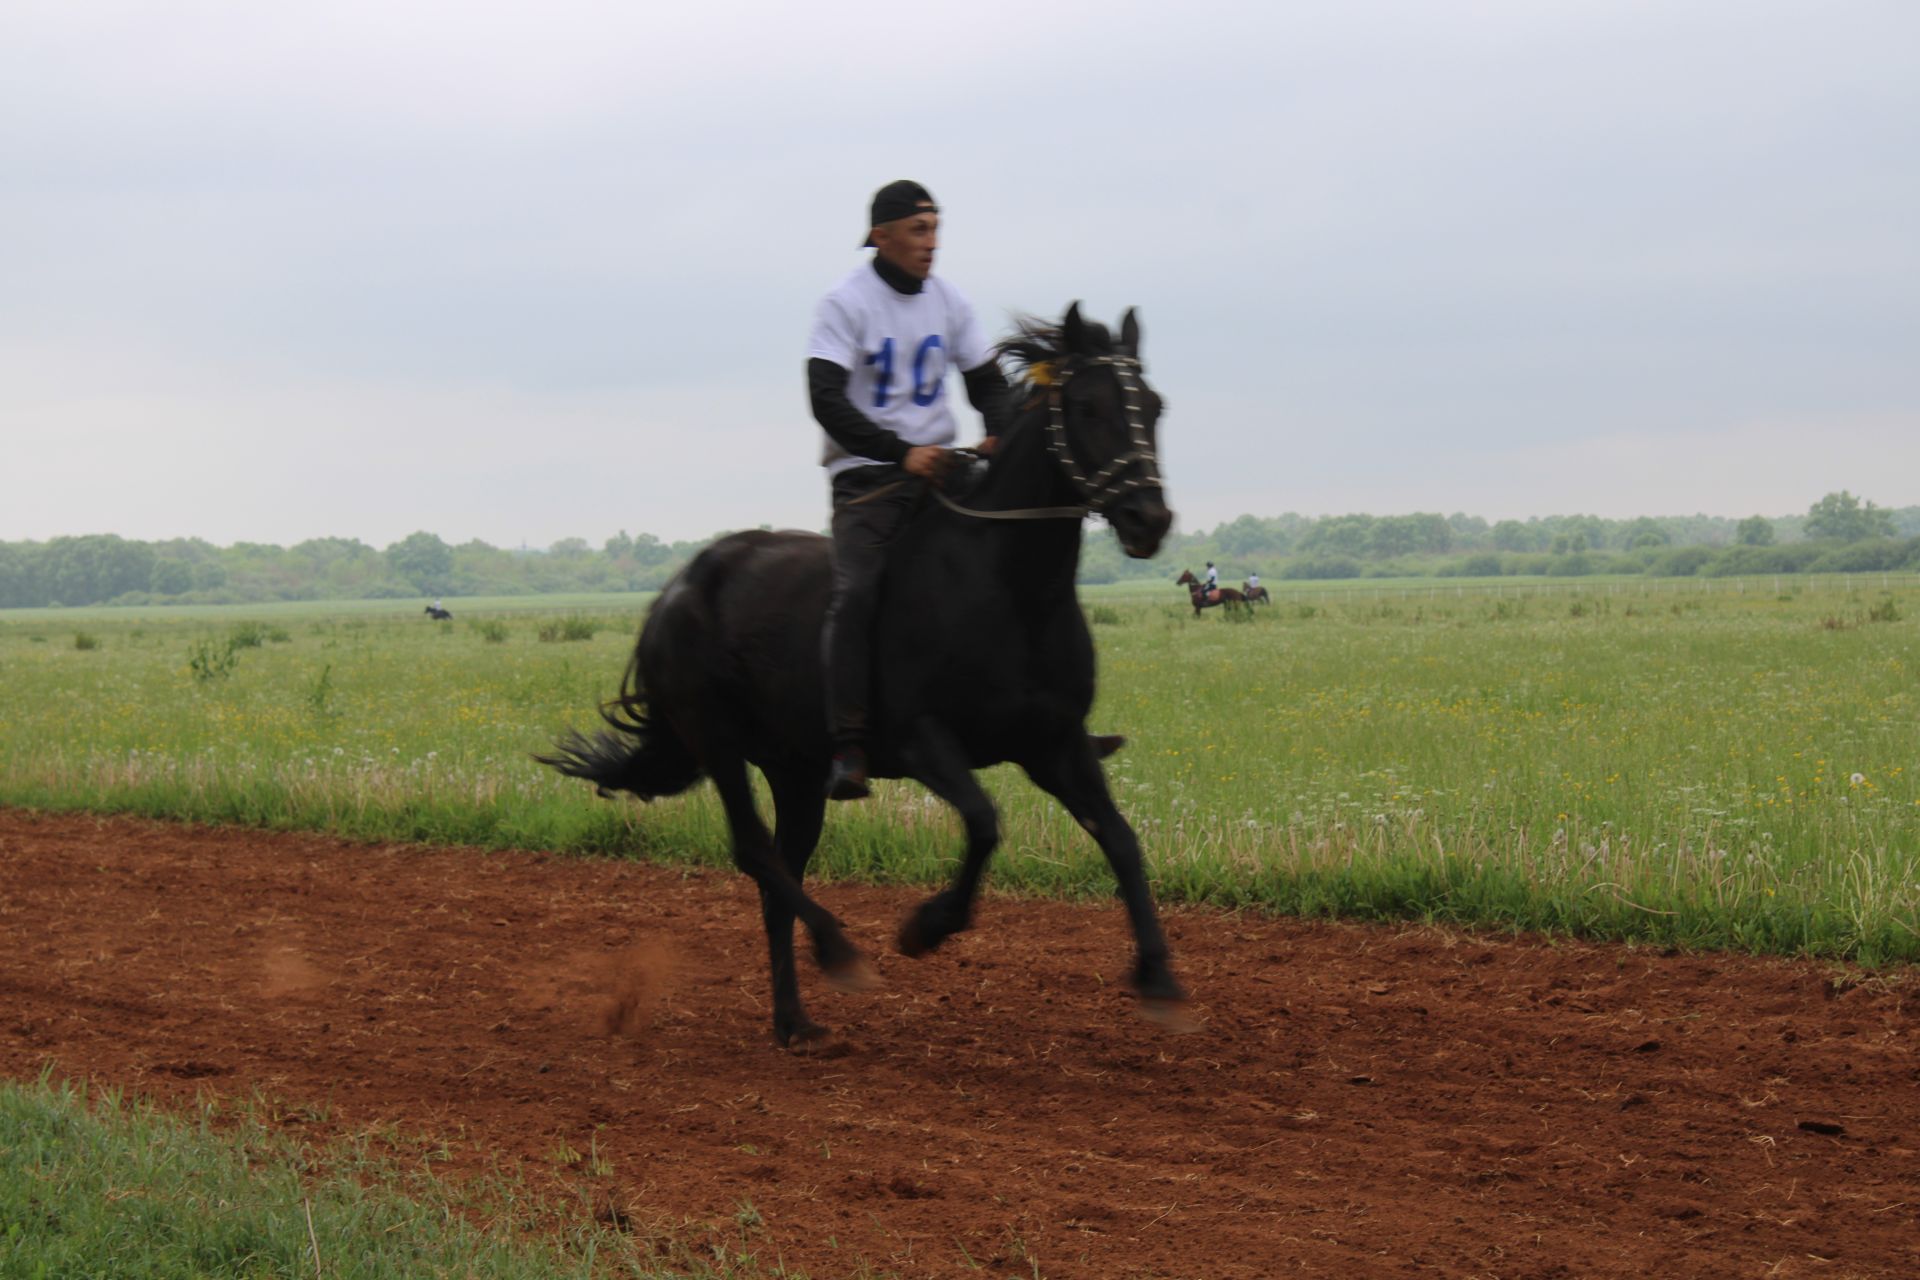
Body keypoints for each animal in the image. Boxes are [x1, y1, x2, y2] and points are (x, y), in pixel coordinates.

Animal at [541, 305, 1190, 1043]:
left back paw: (794, 1020)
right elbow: (985, 822)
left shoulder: (1056, 744)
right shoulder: (924, 741)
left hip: (795, 771)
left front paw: (1159, 979)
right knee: (755, 853)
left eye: (1153, 405)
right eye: (1086, 406)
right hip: (721, 744)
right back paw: (839, 952)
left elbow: (1122, 841)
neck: (1007, 588)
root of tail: (673, 592)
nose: (1148, 518)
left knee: (779, 873)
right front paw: (927, 926)